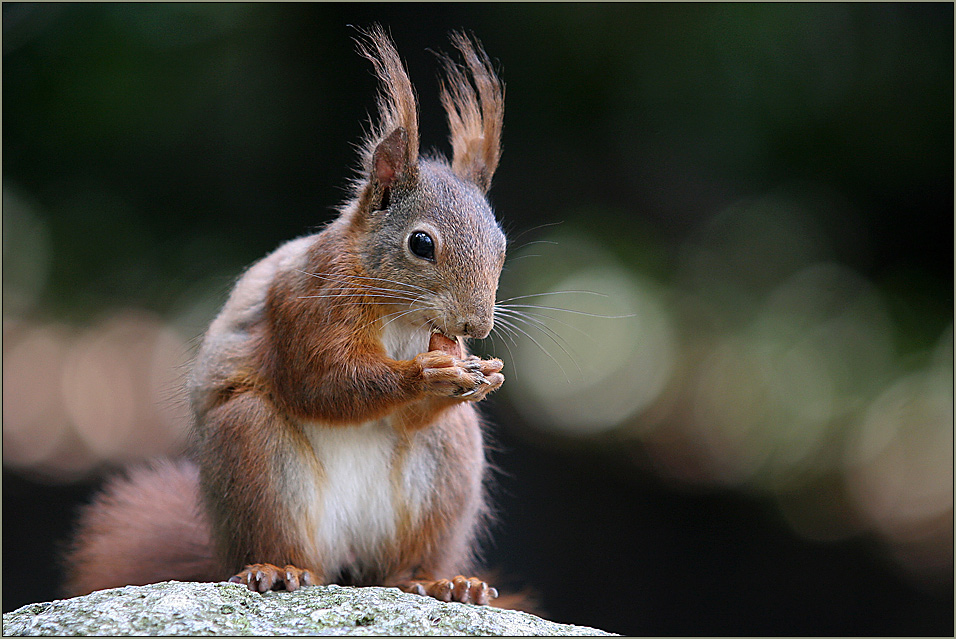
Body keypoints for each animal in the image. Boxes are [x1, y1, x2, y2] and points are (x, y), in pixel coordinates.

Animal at [63, 27, 512, 608]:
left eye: (501, 245)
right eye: (421, 243)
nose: (476, 327)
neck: (398, 314)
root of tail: (347, 567)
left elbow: (404, 412)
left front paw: (485, 375)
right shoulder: (301, 308)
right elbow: (324, 384)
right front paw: (423, 375)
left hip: (449, 463)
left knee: (401, 566)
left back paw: (440, 581)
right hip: (253, 451)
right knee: (283, 536)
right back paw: (279, 569)